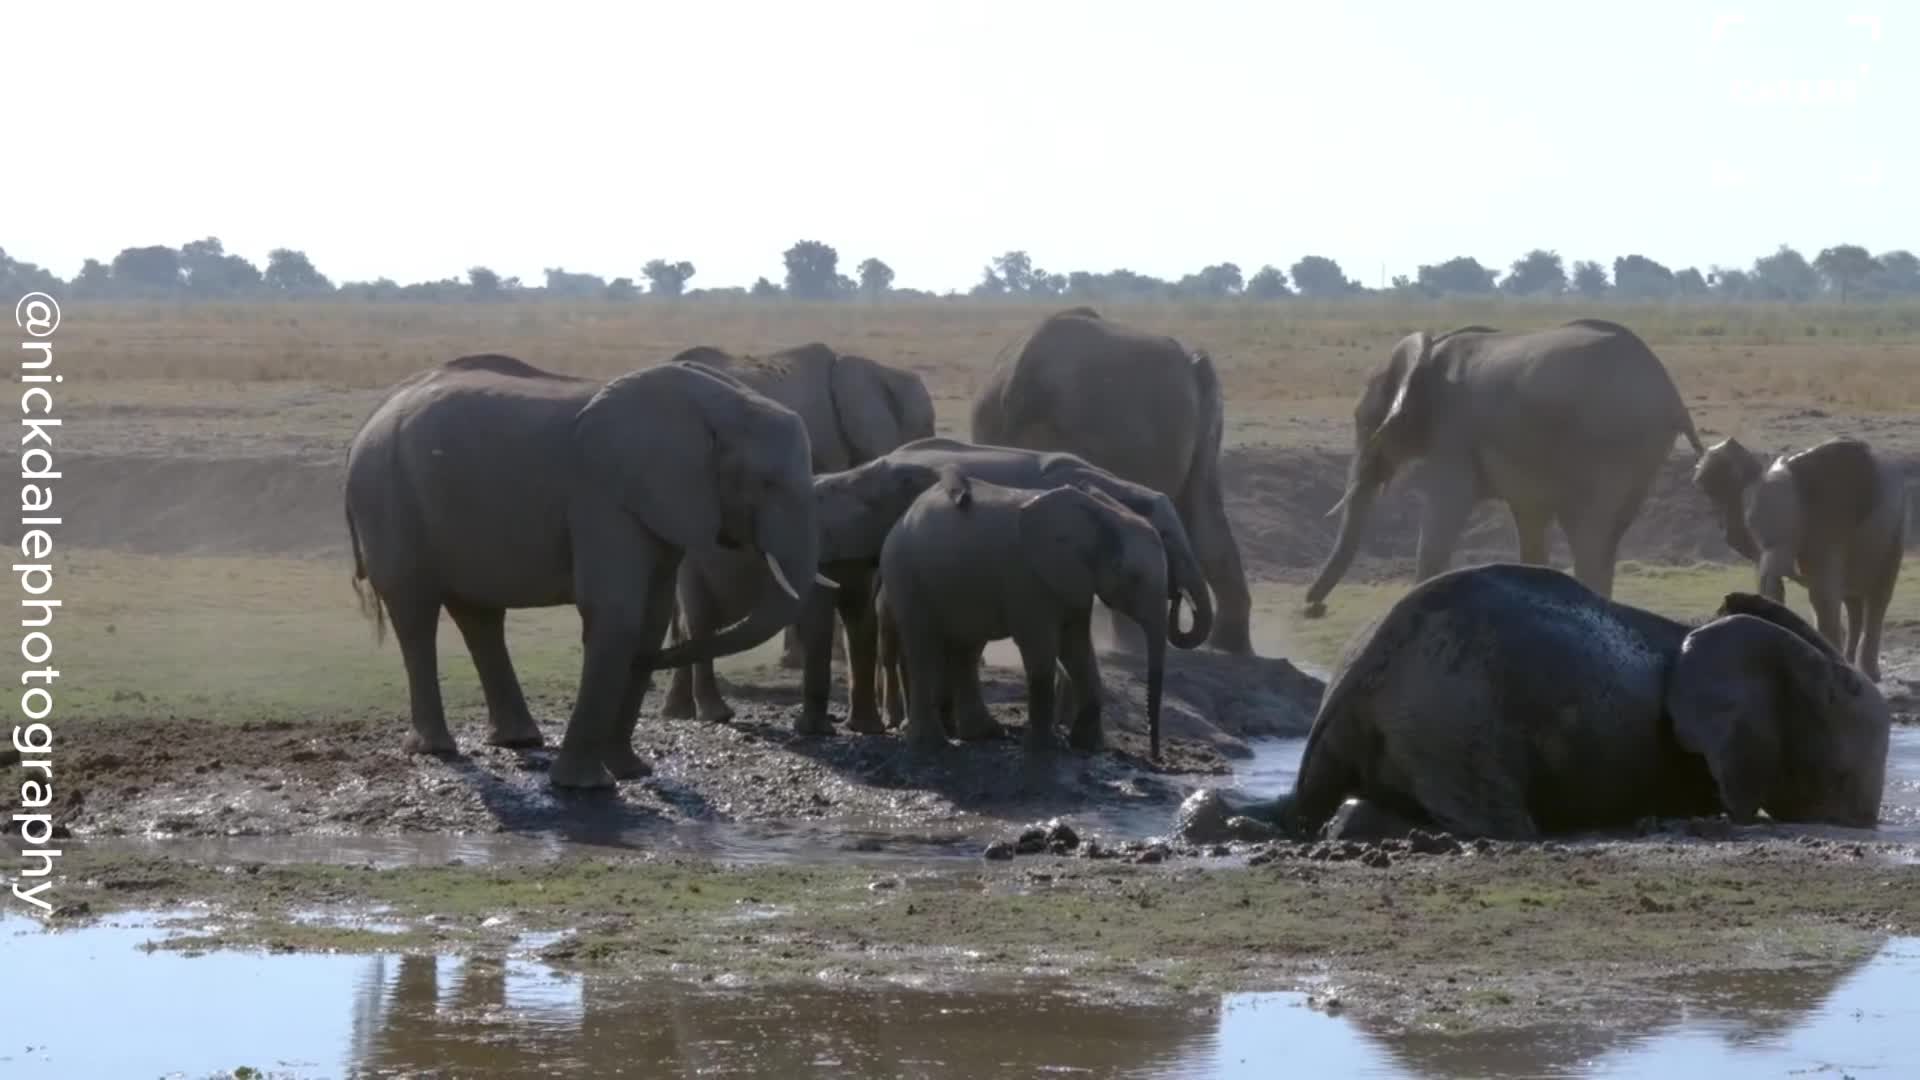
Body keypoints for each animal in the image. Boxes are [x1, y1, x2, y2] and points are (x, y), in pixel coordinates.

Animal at [343, 353, 831, 790]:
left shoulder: (658, 507)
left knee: (479, 615)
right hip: (387, 497)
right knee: (416, 613)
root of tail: (368, 423)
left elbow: (648, 620)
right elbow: (616, 615)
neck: (717, 404)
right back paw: (437, 749)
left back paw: (519, 740)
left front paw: (633, 771)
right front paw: (586, 786)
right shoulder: (604, 496)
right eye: (765, 483)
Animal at [878, 468, 1173, 758]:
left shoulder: (1072, 581)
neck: (1102, 513)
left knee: (966, 649)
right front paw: (1045, 749)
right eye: (1134, 578)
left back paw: (985, 734)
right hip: (906, 575)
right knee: (923, 648)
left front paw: (1088, 747)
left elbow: (1077, 649)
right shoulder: (1030, 579)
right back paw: (930, 746)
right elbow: (1041, 649)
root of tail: (902, 518)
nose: (1156, 757)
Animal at [1304, 318, 1705, 616]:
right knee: (1608, 537)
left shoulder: (1451, 432)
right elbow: (1529, 520)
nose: (1313, 607)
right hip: (1640, 454)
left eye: (1364, 423)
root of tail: (1670, 393)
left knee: (1589, 534)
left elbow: (1444, 514)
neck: (1425, 356)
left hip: (1610, 442)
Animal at [1693, 435, 1907, 681]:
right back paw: (1859, 668)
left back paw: (1855, 669)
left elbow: (1793, 588)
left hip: (1870, 529)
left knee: (1854, 597)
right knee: (1859, 600)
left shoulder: (1793, 522)